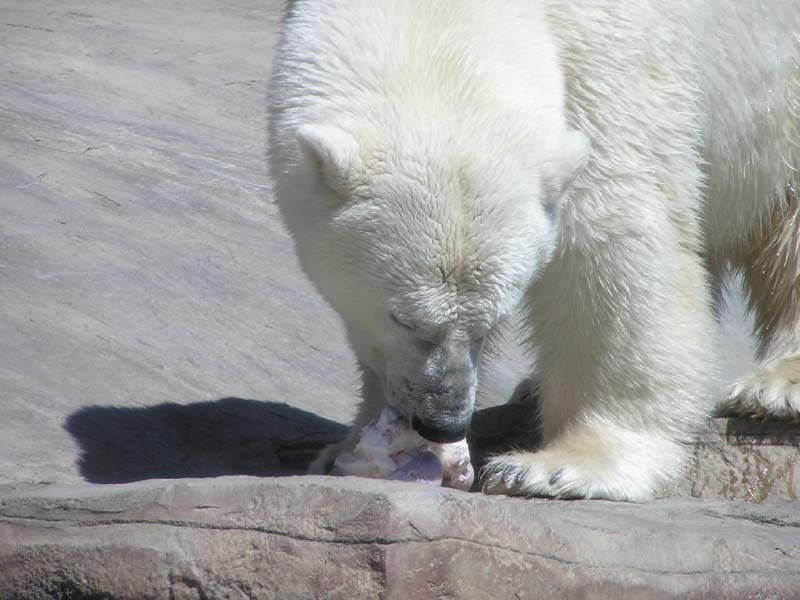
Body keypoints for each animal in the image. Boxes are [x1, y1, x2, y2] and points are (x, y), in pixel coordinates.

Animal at [267, 0, 800, 501]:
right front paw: (350, 444)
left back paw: (773, 387)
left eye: (493, 320)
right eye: (402, 318)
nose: (442, 421)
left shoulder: (612, 59)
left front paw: (560, 466)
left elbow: (612, 234)